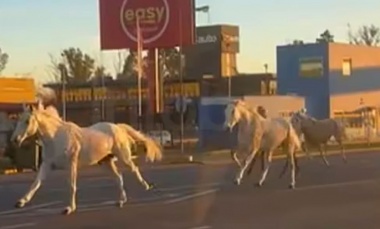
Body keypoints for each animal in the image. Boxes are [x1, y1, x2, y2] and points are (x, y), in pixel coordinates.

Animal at [10, 101, 162, 215]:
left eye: (27, 121)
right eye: (18, 120)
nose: (15, 140)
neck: (56, 138)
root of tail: (118, 127)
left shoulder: (71, 164)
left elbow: (71, 185)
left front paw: (69, 209)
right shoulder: (47, 165)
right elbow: (36, 183)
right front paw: (20, 202)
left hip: (124, 157)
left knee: (134, 169)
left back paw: (147, 186)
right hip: (106, 162)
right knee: (118, 177)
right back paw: (120, 201)